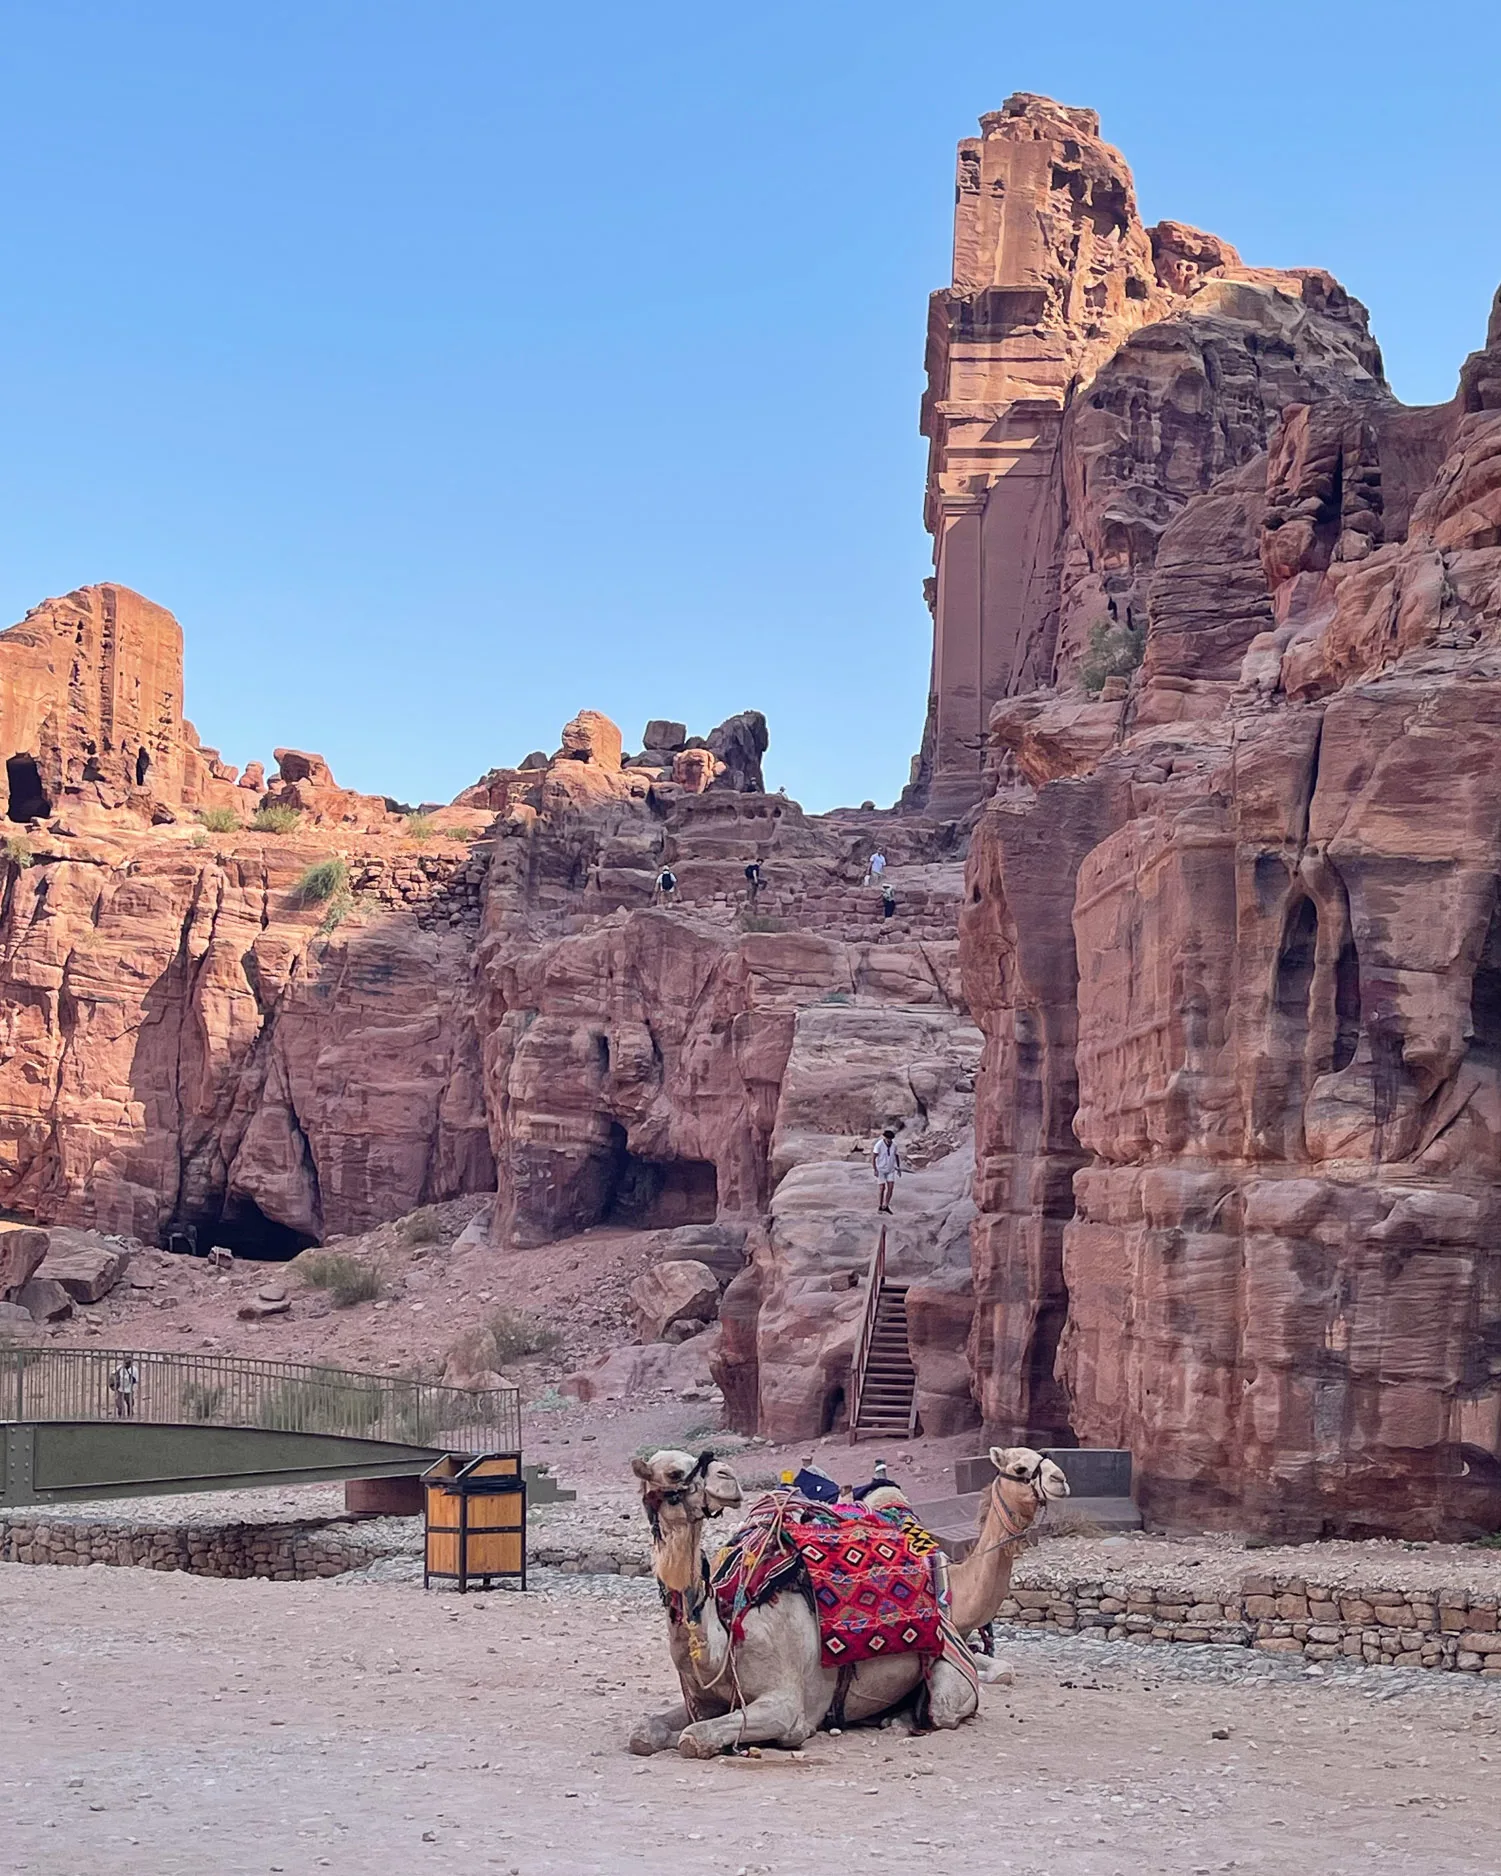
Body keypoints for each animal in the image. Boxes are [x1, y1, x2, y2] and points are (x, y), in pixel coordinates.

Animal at [626, 1448, 1073, 1755]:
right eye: (673, 1471)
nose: (728, 1477)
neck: (724, 1636)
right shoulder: (701, 1700)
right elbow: (643, 1733)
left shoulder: (785, 1705)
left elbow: (693, 1738)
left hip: (951, 1675)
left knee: (945, 1707)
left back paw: (897, 1720)